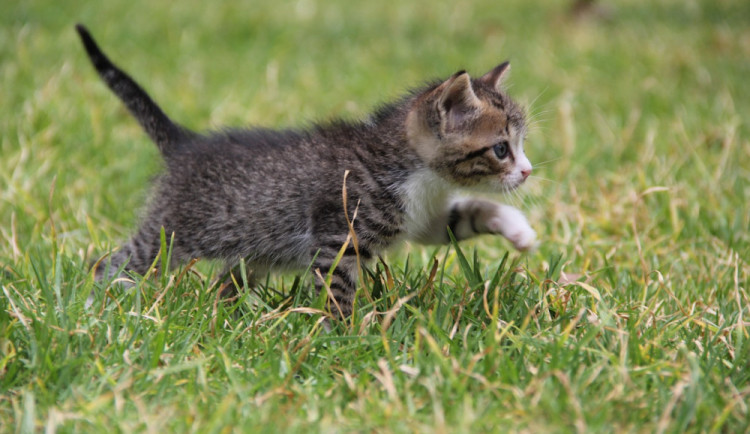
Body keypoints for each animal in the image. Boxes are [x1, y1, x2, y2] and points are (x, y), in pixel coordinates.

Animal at [76, 24, 536, 316]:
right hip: (171, 234)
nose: (528, 172)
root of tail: (186, 143)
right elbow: (337, 292)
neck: (411, 171)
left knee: (225, 281)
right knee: (113, 262)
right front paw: (345, 339)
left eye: (520, 145)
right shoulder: (339, 239)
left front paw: (519, 229)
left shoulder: (422, 219)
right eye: (501, 149)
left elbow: (469, 214)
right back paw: (97, 306)